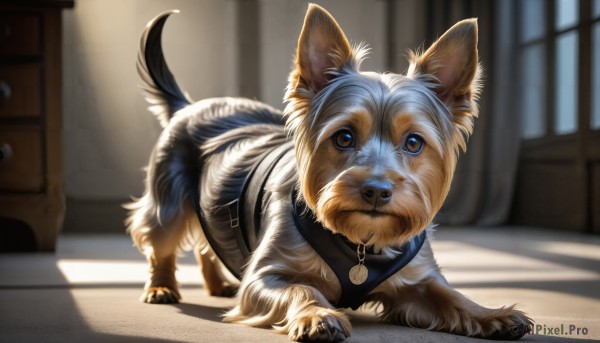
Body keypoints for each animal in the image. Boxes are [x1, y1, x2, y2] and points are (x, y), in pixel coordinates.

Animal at [125, 4, 528, 342]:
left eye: (414, 142)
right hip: (167, 198)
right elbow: (301, 288)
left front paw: (492, 314)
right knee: (160, 239)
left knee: (207, 242)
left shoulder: (418, 281)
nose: (377, 190)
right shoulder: (265, 276)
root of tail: (187, 106)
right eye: (344, 137)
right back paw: (161, 287)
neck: (360, 242)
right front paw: (318, 315)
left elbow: (451, 296)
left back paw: (217, 284)